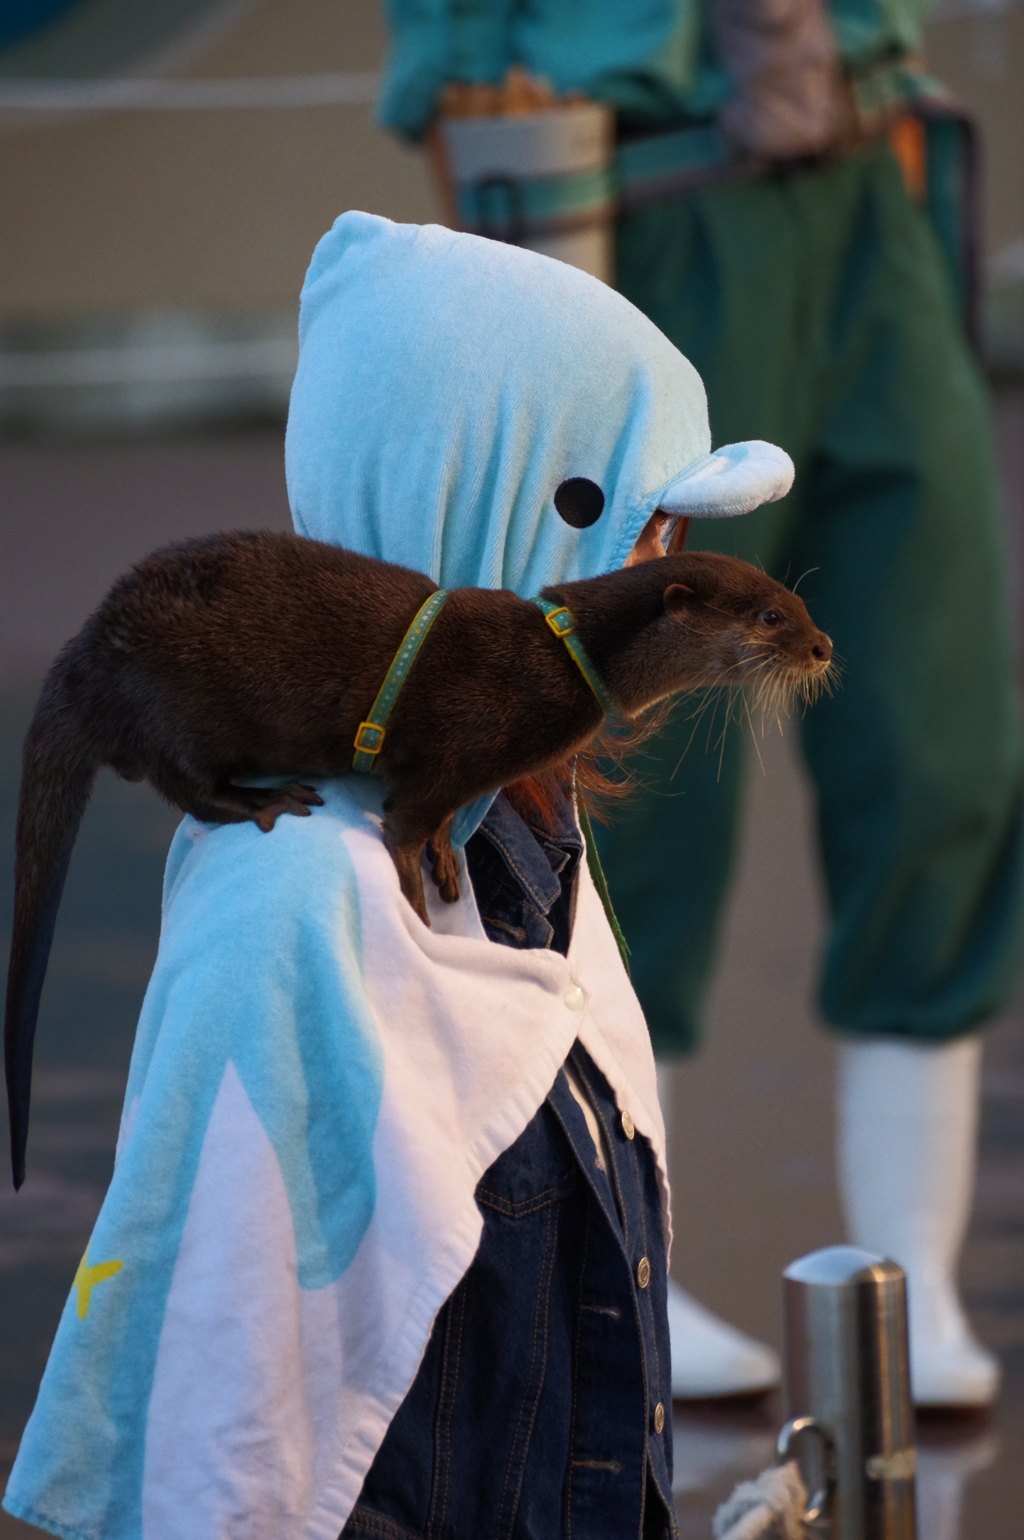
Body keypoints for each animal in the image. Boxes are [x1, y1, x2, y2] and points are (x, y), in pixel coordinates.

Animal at [5, 523, 831, 1182]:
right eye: (770, 616)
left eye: (801, 607)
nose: (824, 647)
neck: (553, 663)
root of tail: (88, 652)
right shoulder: (458, 747)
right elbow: (402, 825)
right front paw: (417, 905)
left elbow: (431, 829)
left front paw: (443, 855)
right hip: (175, 705)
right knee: (181, 780)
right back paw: (262, 801)